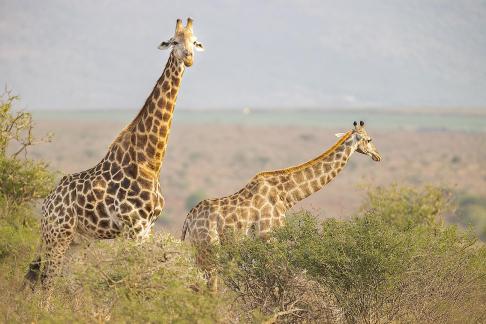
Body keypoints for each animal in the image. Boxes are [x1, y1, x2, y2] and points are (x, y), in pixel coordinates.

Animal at [25, 17, 203, 292]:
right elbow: (130, 278)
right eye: (174, 41)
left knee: (63, 282)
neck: (150, 162)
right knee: (48, 282)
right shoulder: (133, 229)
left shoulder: (147, 230)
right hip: (58, 236)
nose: (189, 58)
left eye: (195, 42)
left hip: (77, 241)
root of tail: (46, 205)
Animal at [182, 120, 384, 288]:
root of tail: (188, 219)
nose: (378, 156)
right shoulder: (268, 234)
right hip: (208, 246)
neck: (286, 195)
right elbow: (275, 276)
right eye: (369, 139)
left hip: (199, 248)